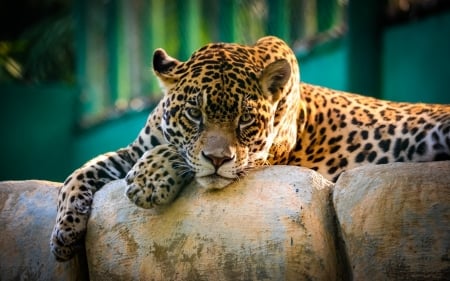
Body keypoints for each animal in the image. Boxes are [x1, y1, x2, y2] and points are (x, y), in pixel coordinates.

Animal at [51, 35, 450, 260]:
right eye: (194, 113)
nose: (218, 159)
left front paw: (148, 181)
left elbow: (182, 157)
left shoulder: (262, 157)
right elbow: (81, 171)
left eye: (245, 119)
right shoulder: (132, 150)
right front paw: (64, 233)